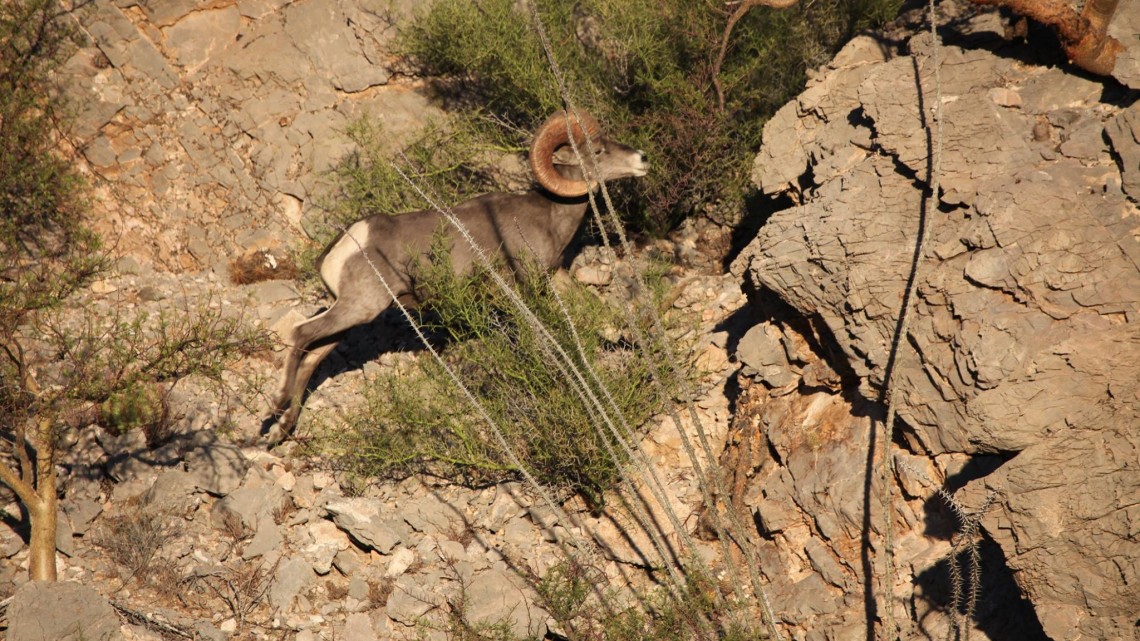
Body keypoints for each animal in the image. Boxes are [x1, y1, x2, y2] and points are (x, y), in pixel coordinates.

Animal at [261, 111, 647, 437]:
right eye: (597, 150)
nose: (641, 159)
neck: (549, 214)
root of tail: (346, 243)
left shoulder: (553, 278)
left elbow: (602, 314)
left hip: (348, 318)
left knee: (312, 356)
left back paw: (281, 430)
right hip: (359, 308)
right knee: (300, 333)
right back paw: (276, 406)